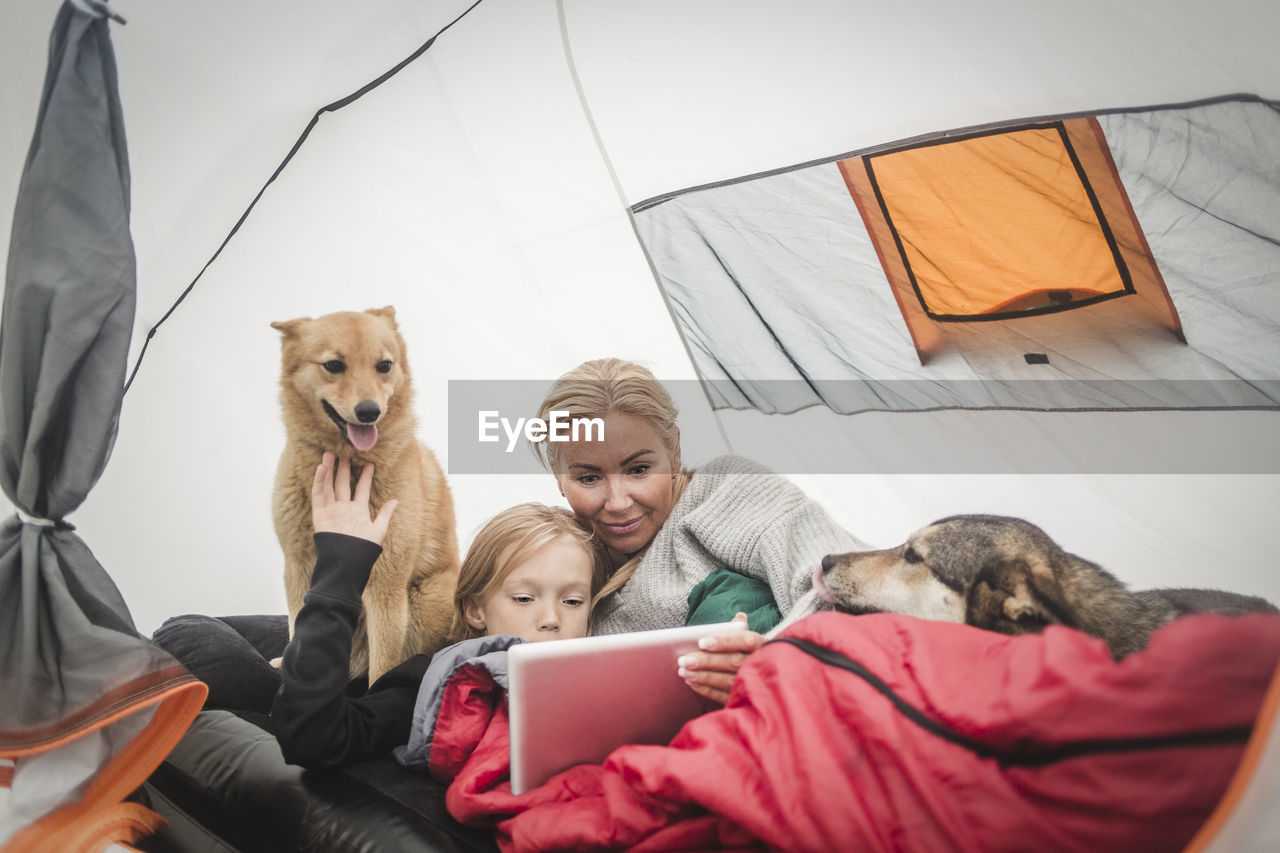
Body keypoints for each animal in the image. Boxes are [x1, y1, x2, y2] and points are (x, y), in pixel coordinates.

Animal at [270, 302, 460, 681]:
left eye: (383, 365)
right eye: (333, 365)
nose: (369, 411)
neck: (350, 467)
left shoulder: (386, 584)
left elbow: (383, 668)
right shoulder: (297, 568)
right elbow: (298, 628)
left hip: (427, 598)